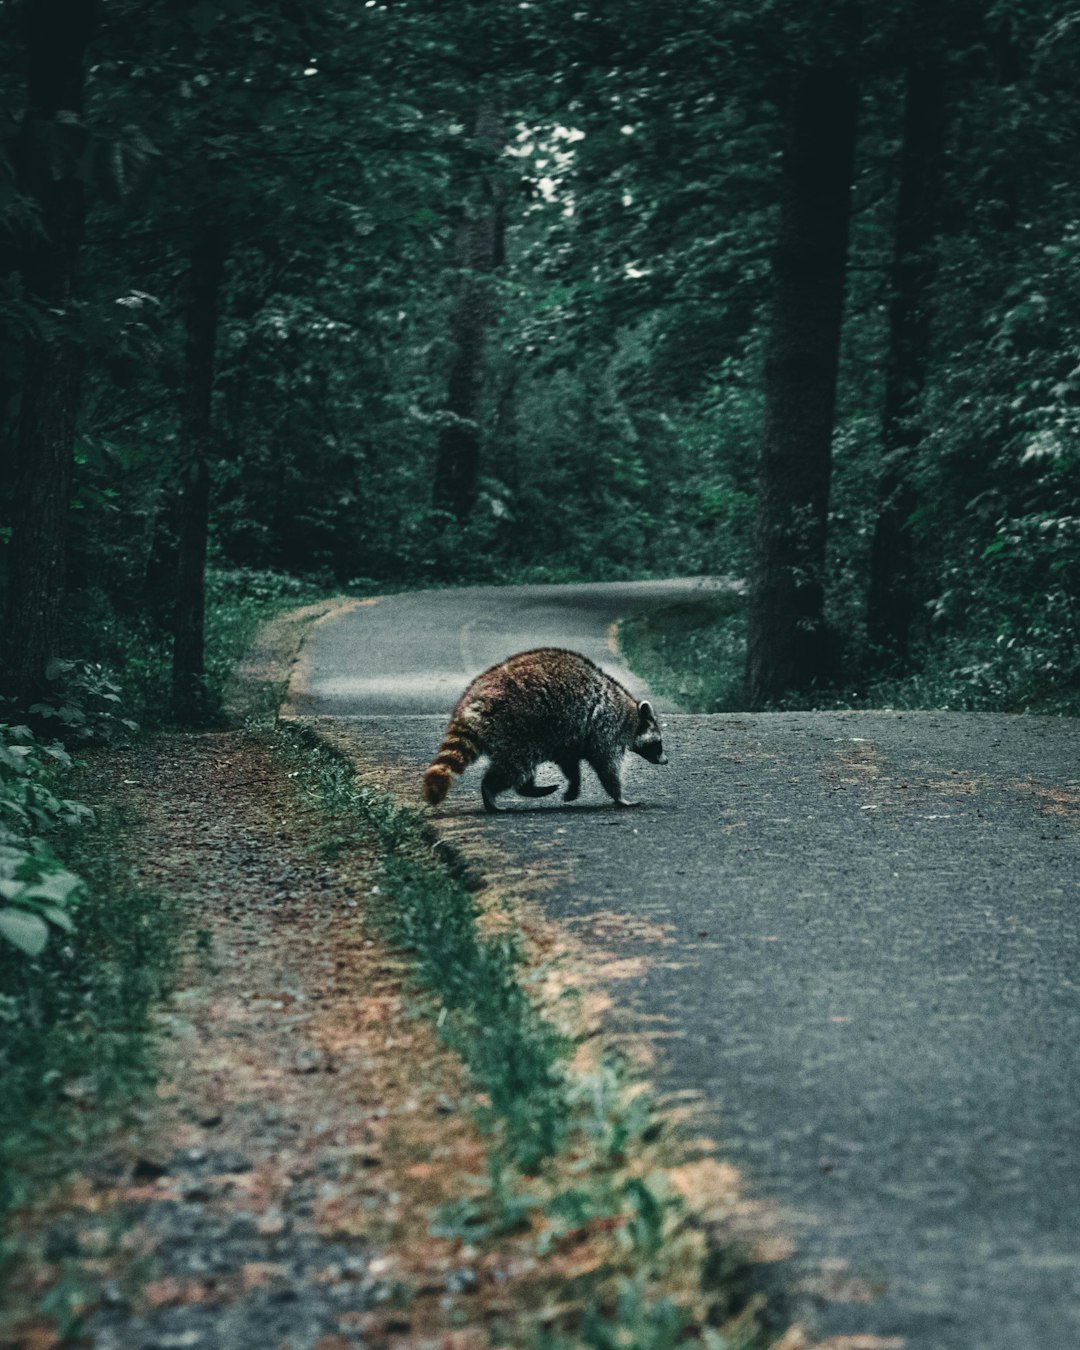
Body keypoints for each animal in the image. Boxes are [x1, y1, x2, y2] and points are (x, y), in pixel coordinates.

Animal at [421, 645, 666, 810]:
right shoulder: (607, 729)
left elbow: (570, 762)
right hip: (516, 726)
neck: (631, 714)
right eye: (659, 743)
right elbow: (607, 767)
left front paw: (574, 786)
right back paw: (490, 790)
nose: (665, 760)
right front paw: (619, 796)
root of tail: (474, 700)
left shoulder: (571, 734)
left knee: (521, 767)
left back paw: (528, 788)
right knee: (514, 767)